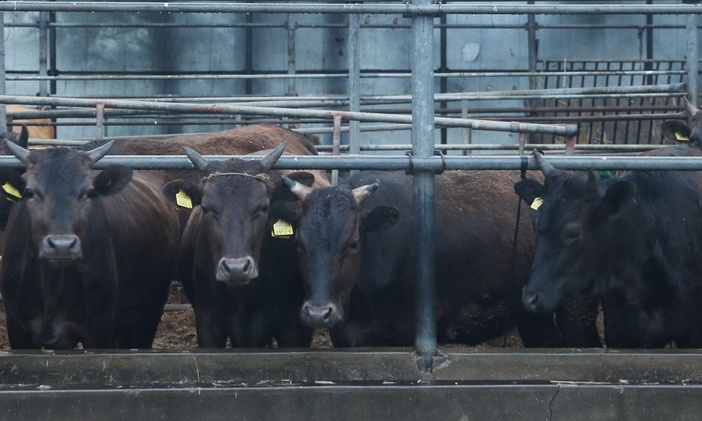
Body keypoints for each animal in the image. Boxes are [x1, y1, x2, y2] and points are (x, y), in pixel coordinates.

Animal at [0, 141, 182, 348]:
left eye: (89, 191)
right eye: (29, 191)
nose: (62, 245)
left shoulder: (99, 326)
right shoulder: (16, 326)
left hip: (149, 312)